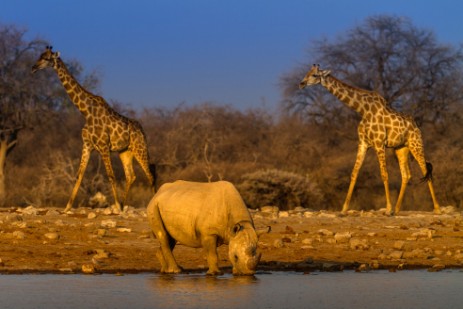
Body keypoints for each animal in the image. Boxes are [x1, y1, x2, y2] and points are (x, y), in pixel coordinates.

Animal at [32, 46, 157, 212]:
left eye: (46, 58)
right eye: (39, 55)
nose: (33, 68)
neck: (86, 112)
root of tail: (142, 131)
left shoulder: (103, 146)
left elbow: (111, 176)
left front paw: (116, 206)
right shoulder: (87, 145)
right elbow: (79, 176)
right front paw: (66, 208)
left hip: (140, 148)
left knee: (150, 174)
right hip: (125, 151)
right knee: (131, 176)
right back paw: (124, 205)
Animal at [300, 64, 440, 214]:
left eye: (314, 75)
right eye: (307, 73)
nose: (301, 84)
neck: (363, 110)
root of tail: (416, 126)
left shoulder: (379, 143)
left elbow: (384, 174)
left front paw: (388, 208)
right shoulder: (363, 143)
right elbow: (354, 173)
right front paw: (344, 208)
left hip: (416, 144)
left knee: (425, 170)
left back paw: (436, 208)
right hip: (401, 148)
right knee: (406, 175)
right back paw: (397, 209)